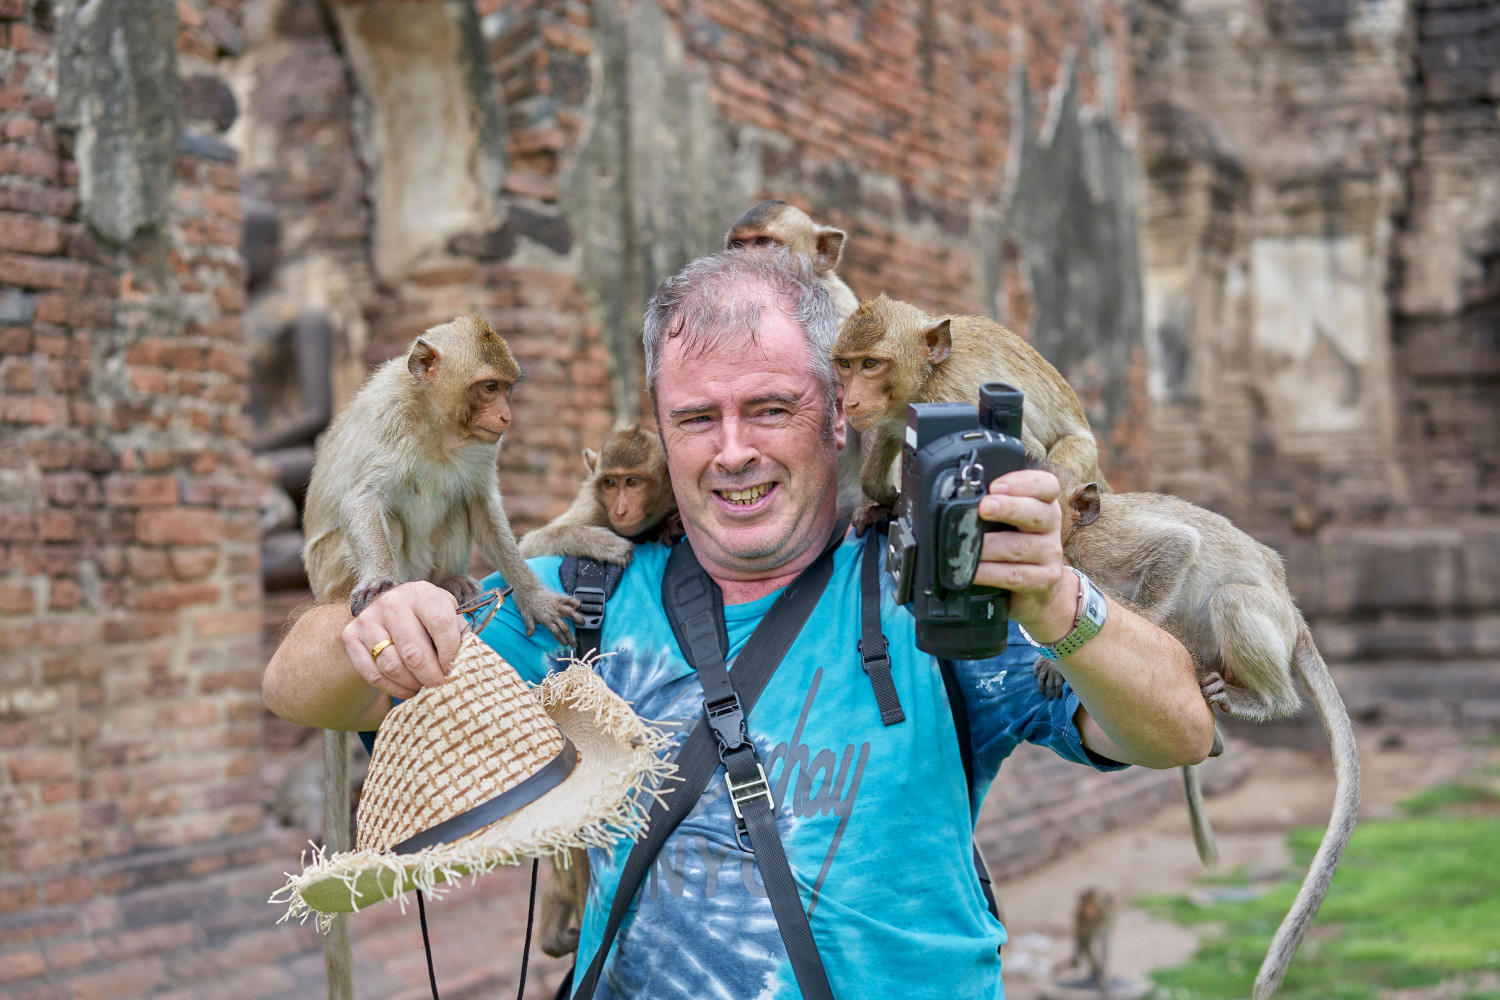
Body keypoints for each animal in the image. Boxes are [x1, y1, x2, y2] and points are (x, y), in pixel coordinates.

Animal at [301, 310, 582, 641]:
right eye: (490, 387)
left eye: (506, 389)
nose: (506, 416)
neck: (439, 422)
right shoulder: (393, 418)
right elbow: (363, 499)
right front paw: (380, 583)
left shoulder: (486, 443)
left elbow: (482, 505)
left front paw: (535, 598)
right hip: (328, 573)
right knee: (391, 524)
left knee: (458, 510)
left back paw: (450, 581)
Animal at [519, 422, 678, 566]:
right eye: (609, 483)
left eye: (632, 481)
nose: (620, 511)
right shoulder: (592, 509)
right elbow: (527, 547)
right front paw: (599, 542)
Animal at [1044, 476, 1362, 1000]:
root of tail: (1295, 618)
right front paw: (1049, 663)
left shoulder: (1097, 546)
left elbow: (1176, 546)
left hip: (1268, 619)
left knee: (1231, 600)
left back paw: (1270, 701)